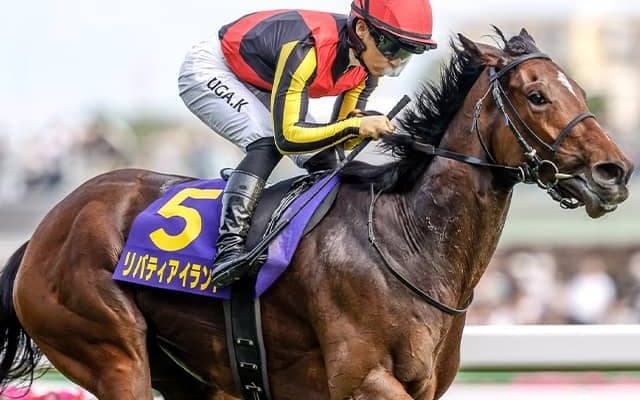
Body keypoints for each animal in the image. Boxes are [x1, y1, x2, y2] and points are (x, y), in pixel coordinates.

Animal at [0, 28, 633, 400]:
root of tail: (40, 233)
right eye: (537, 96)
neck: (408, 240)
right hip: (109, 350)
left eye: (580, 90)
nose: (616, 172)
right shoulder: (361, 378)